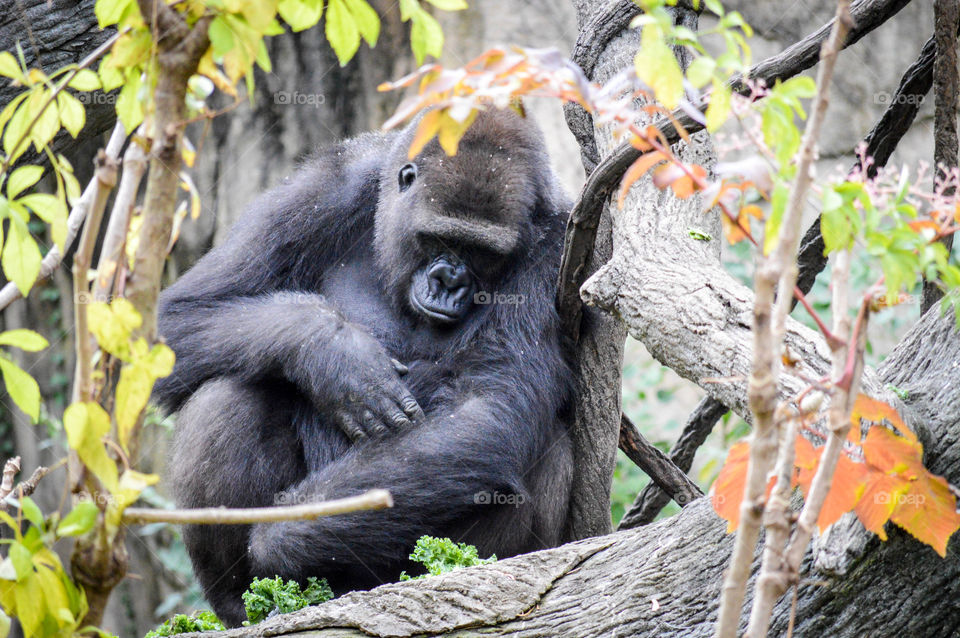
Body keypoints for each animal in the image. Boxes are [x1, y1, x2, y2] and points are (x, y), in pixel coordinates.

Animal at [157, 107, 572, 628]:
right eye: (438, 238)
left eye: (481, 253)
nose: (447, 282)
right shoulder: (326, 187)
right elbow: (175, 320)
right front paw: (332, 351)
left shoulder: (555, 243)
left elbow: (489, 406)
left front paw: (280, 535)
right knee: (228, 393)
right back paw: (241, 600)